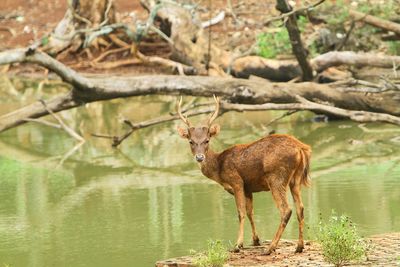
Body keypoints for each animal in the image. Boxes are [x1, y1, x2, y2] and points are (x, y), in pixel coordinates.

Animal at [176, 96, 312, 255]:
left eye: (207, 140)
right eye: (191, 141)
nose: (199, 157)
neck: (219, 168)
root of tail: (301, 148)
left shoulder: (237, 182)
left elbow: (240, 212)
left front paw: (238, 245)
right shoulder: (248, 188)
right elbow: (250, 212)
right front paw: (255, 240)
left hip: (276, 177)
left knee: (286, 210)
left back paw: (270, 248)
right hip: (295, 179)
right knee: (300, 208)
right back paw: (299, 246)